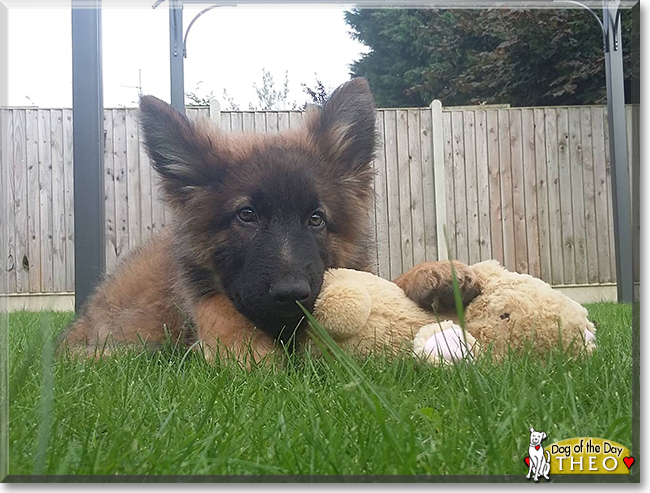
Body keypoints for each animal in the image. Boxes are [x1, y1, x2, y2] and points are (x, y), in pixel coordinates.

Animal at [59, 78, 476, 362]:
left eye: (316, 219)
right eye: (247, 216)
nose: (292, 294)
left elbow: (384, 281)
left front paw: (435, 273)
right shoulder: (203, 296)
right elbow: (218, 310)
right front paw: (251, 355)